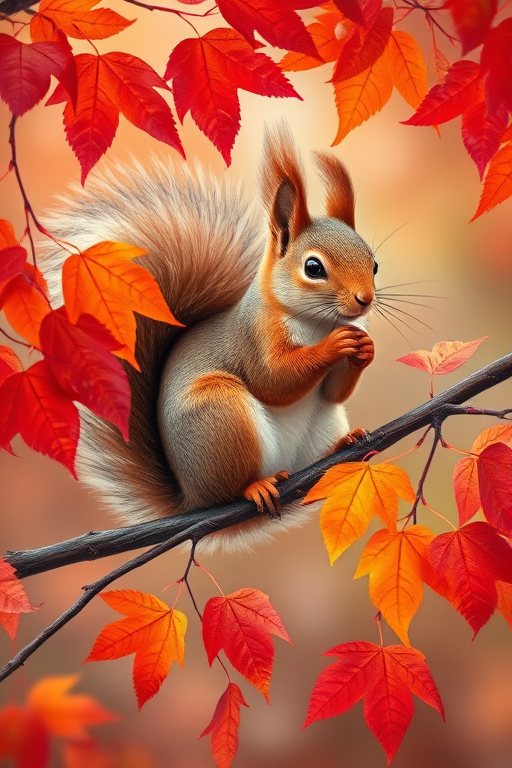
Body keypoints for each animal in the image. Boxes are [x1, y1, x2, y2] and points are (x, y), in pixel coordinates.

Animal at [40, 127, 376, 553]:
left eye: (374, 263)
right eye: (313, 267)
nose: (365, 300)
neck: (317, 323)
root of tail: (193, 500)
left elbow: (333, 392)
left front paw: (364, 348)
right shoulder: (254, 337)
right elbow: (274, 381)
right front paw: (337, 346)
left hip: (318, 427)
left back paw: (345, 444)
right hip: (220, 413)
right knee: (231, 487)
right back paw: (256, 487)